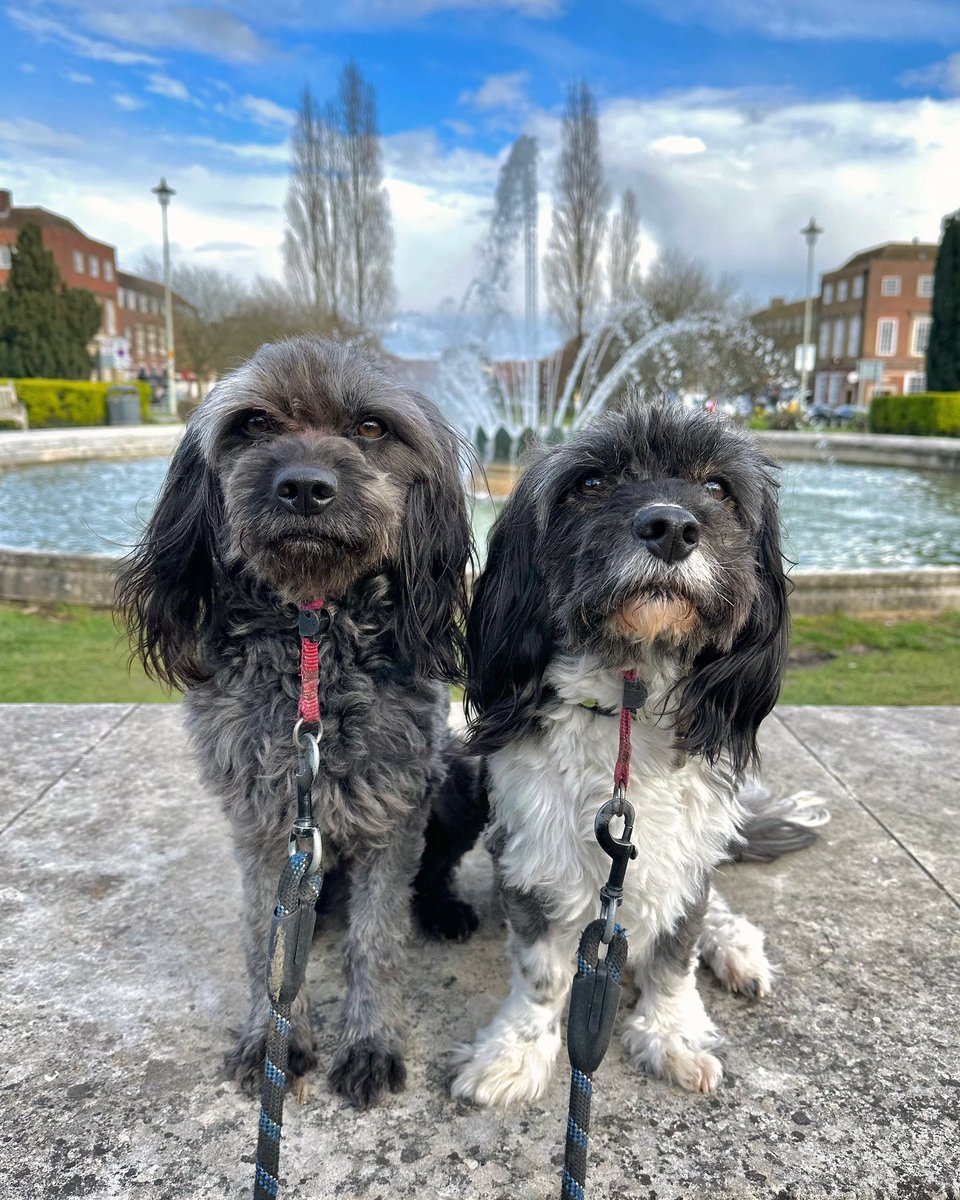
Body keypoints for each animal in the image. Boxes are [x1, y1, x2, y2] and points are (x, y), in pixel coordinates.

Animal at [116, 336, 484, 1104]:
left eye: (371, 427)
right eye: (253, 424)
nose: (306, 487)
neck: (314, 643)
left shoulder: (391, 817)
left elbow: (378, 941)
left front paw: (370, 1042)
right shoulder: (263, 826)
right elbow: (265, 938)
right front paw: (272, 1040)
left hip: (461, 779)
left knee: (432, 874)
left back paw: (441, 910)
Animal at [451, 400, 816, 1104]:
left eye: (717, 488)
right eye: (589, 483)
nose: (671, 527)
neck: (627, 703)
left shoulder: (682, 856)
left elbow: (677, 953)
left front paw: (672, 1034)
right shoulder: (530, 853)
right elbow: (540, 973)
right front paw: (517, 1052)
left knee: (717, 907)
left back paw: (734, 947)